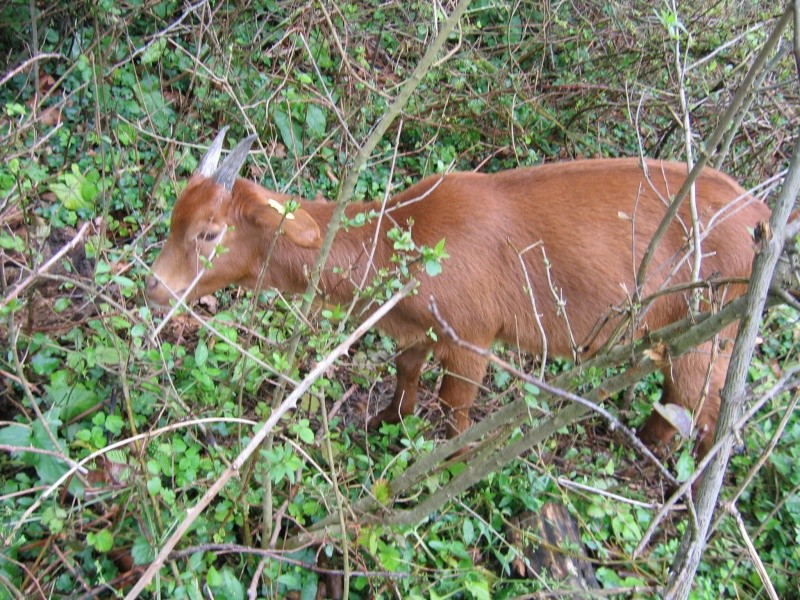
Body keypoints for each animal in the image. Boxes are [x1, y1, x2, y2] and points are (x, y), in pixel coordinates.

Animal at [147, 131, 772, 458]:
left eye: (208, 232)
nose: (154, 286)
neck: (404, 237)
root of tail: (762, 216)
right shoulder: (414, 327)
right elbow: (405, 375)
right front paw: (384, 425)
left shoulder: (472, 338)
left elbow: (456, 410)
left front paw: (453, 468)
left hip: (708, 321)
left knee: (704, 402)